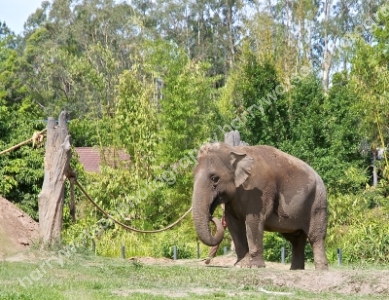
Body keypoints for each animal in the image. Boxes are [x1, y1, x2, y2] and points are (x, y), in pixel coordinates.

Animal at [191, 142, 328, 270]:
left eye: (214, 178)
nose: (211, 216)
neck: (235, 150)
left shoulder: (260, 190)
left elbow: (253, 221)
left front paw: (255, 266)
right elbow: (233, 223)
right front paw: (240, 265)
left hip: (318, 202)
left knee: (315, 237)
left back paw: (320, 270)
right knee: (296, 239)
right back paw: (296, 270)